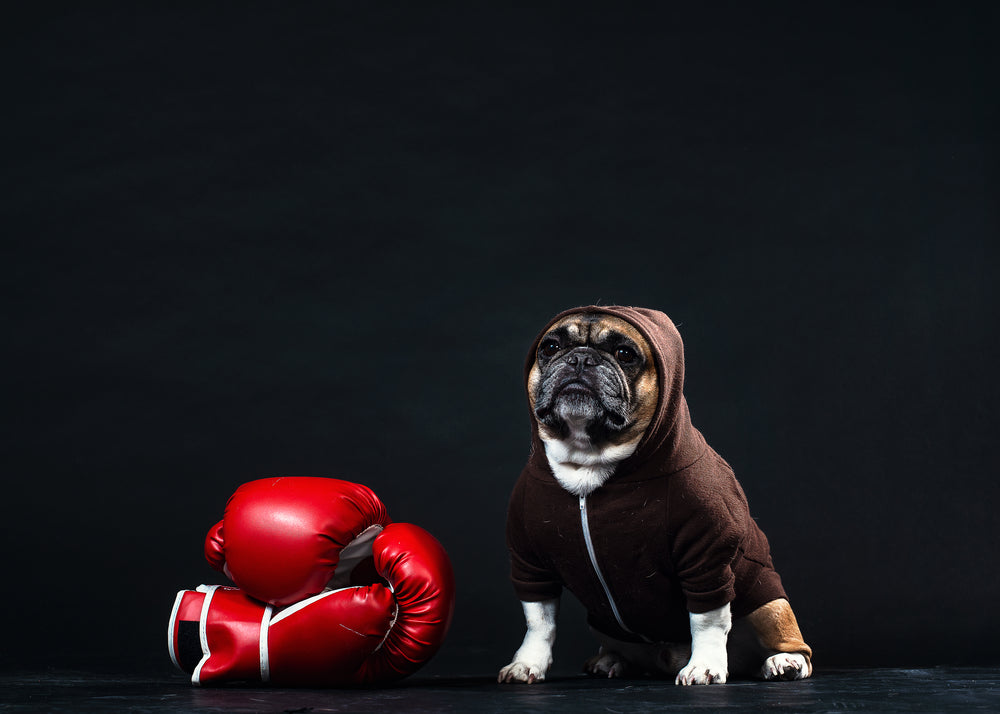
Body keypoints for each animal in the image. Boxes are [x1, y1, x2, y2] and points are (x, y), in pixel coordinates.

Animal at [498, 306, 812, 684]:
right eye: (550, 347)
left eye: (624, 354)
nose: (580, 359)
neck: (589, 459)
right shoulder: (530, 563)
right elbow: (539, 622)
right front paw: (527, 662)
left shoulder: (706, 559)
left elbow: (707, 619)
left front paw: (704, 665)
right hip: (604, 626)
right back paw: (611, 660)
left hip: (769, 605)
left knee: (788, 642)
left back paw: (783, 662)